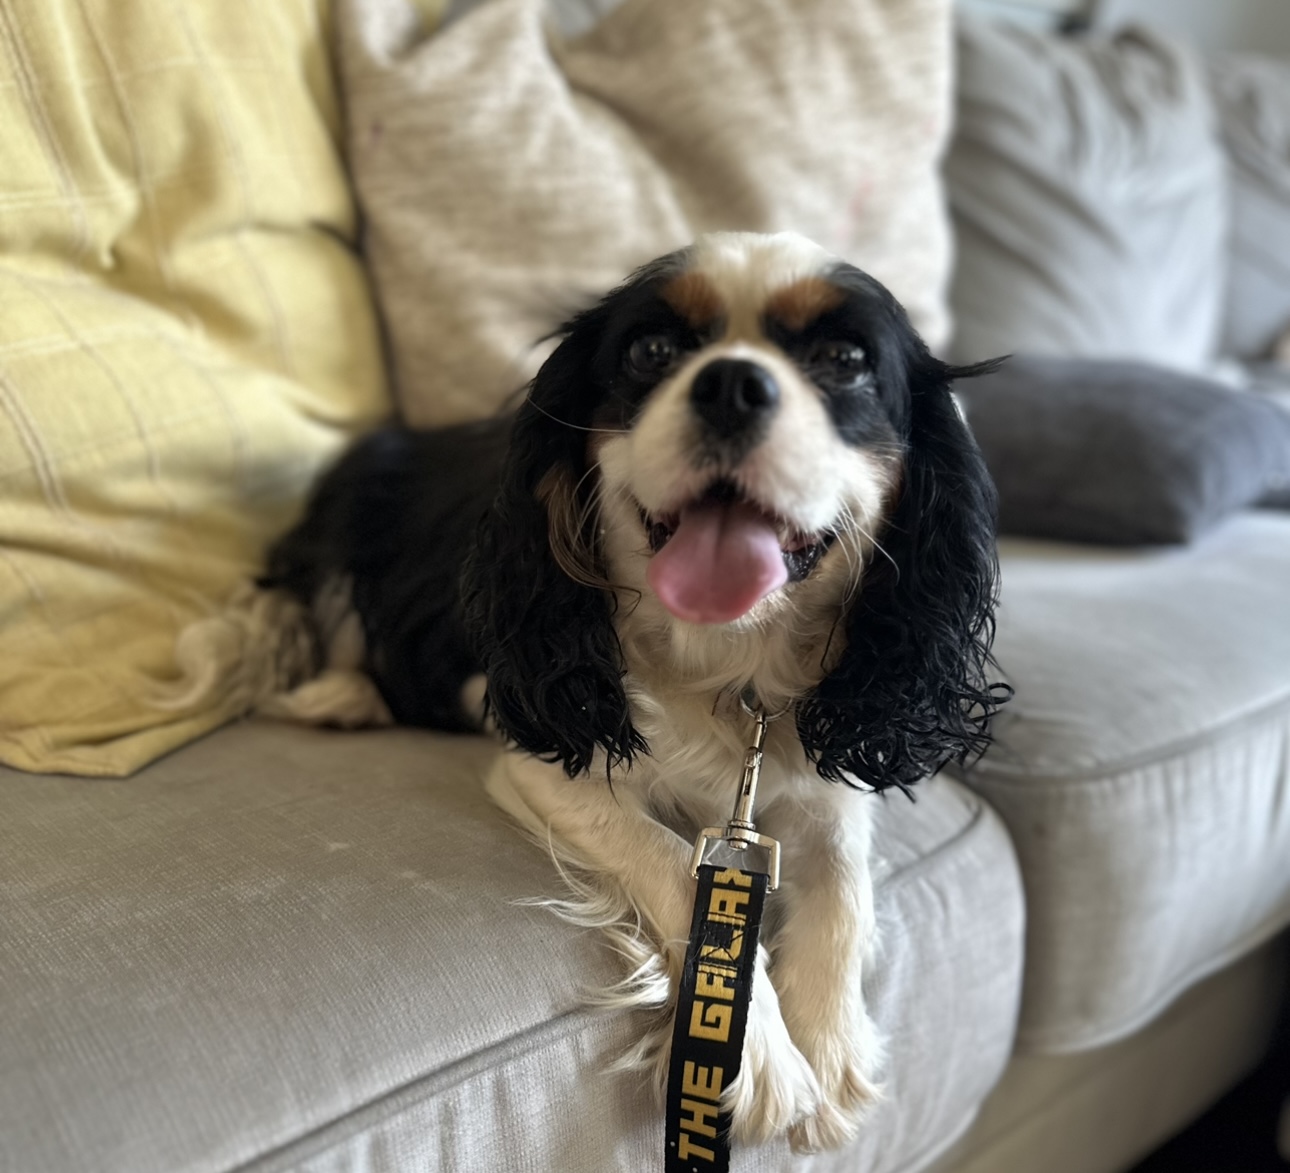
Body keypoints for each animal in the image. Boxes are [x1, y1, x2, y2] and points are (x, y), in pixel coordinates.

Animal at [261, 231, 1006, 1152]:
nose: (732, 383)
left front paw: (831, 1049)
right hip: (354, 503)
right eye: (651, 351)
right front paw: (759, 1054)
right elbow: (672, 859)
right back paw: (338, 695)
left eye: (845, 360)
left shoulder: (829, 762)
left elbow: (843, 882)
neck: (726, 660)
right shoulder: (542, 759)